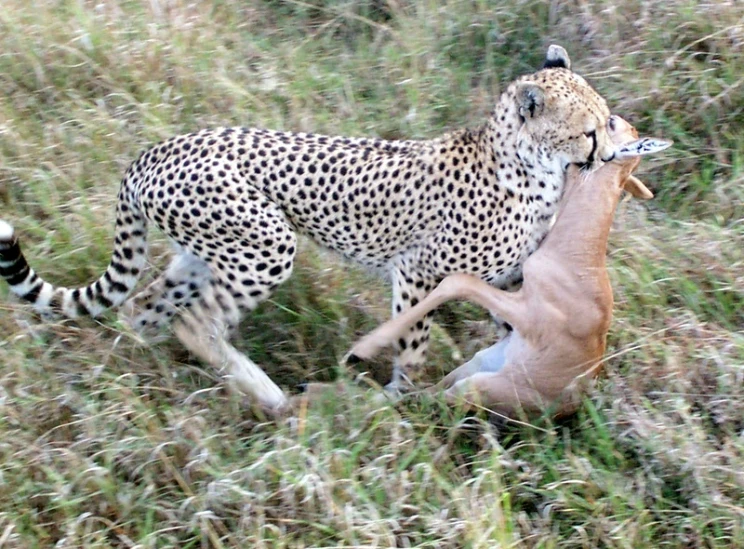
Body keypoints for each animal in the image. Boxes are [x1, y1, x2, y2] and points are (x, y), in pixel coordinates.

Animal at [0, 45, 616, 414]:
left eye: (607, 121)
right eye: (590, 131)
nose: (612, 152)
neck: (529, 166)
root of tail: (158, 148)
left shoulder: (507, 279)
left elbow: (513, 321)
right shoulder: (419, 272)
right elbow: (413, 342)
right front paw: (399, 395)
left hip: (202, 253)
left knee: (145, 305)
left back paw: (160, 373)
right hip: (268, 244)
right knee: (197, 322)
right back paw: (267, 395)